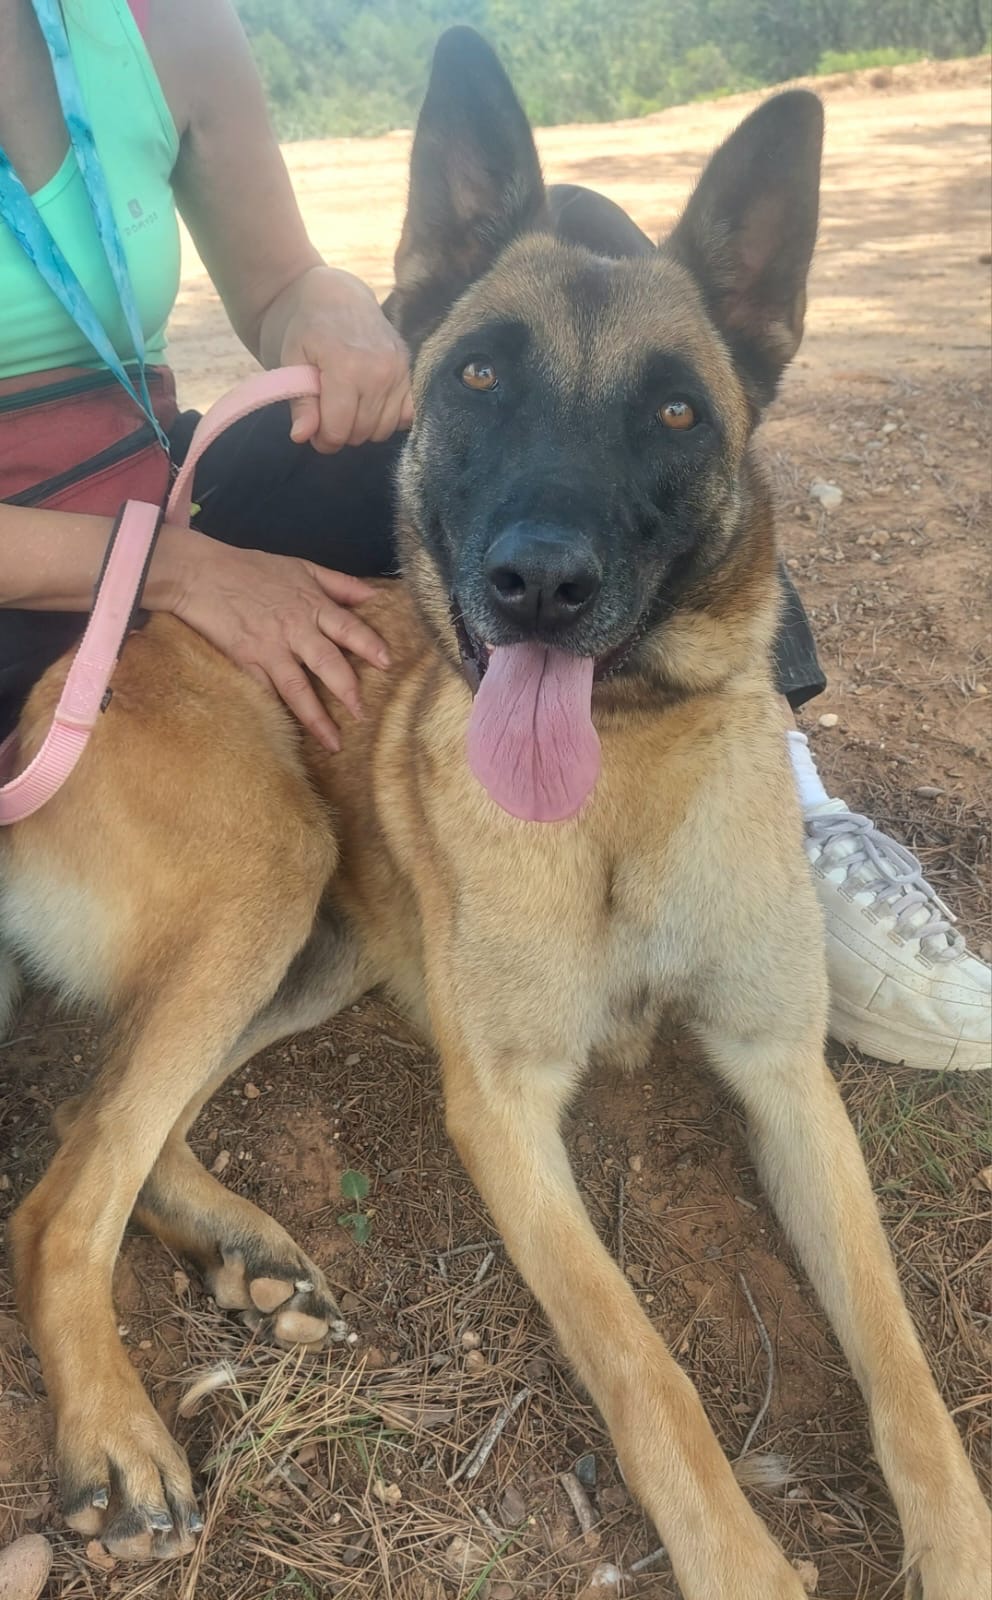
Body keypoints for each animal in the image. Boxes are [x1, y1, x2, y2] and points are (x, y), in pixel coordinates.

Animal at [2, 28, 988, 1599]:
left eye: (675, 411)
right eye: (472, 377)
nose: (539, 583)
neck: (625, 782)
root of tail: (75, 677)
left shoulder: (785, 1075)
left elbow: (900, 1363)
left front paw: (956, 1543)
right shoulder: (507, 1114)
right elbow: (648, 1372)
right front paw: (742, 1562)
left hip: (314, 950)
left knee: (111, 1124)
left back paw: (240, 1244)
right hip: (273, 880)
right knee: (57, 1198)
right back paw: (114, 1433)